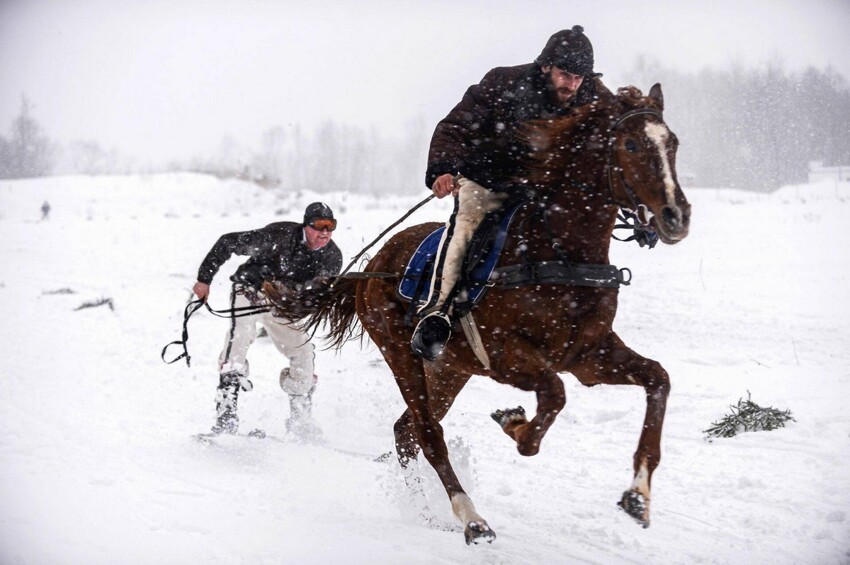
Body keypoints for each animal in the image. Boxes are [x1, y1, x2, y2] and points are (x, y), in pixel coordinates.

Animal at [274, 83, 684, 540]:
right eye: (630, 144)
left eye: (673, 144)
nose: (676, 217)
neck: (557, 252)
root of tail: (373, 265)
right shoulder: (506, 356)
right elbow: (554, 395)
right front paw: (513, 421)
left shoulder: (588, 357)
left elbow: (658, 379)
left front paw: (638, 495)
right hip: (401, 353)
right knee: (427, 431)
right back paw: (470, 516)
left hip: (451, 368)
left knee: (405, 431)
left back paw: (426, 512)